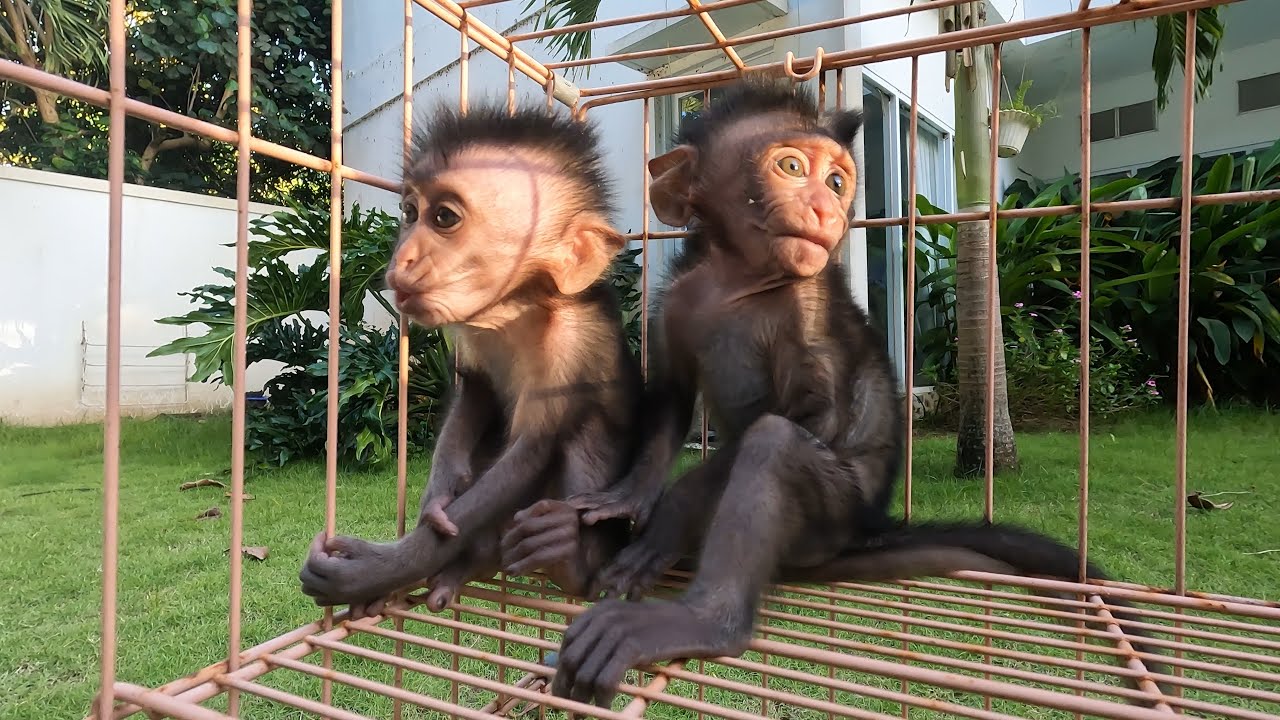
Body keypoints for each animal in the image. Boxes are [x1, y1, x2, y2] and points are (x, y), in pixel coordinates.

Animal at [297, 100, 642, 617]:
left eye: (444, 218)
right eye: (410, 213)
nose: (401, 258)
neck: (518, 310)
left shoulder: (571, 342)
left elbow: (530, 451)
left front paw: (375, 570)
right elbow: (475, 393)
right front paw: (437, 496)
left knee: (585, 429)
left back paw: (563, 561)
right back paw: (471, 564)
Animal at [532, 75, 1170, 707]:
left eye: (837, 182)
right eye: (792, 166)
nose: (825, 206)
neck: (738, 280)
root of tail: (866, 529)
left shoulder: (806, 302)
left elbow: (816, 419)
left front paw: (670, 513)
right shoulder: (676, 299)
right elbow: (669, 397)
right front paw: (627, 497)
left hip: (833, 513)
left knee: (774, 445)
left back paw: (702, 620)